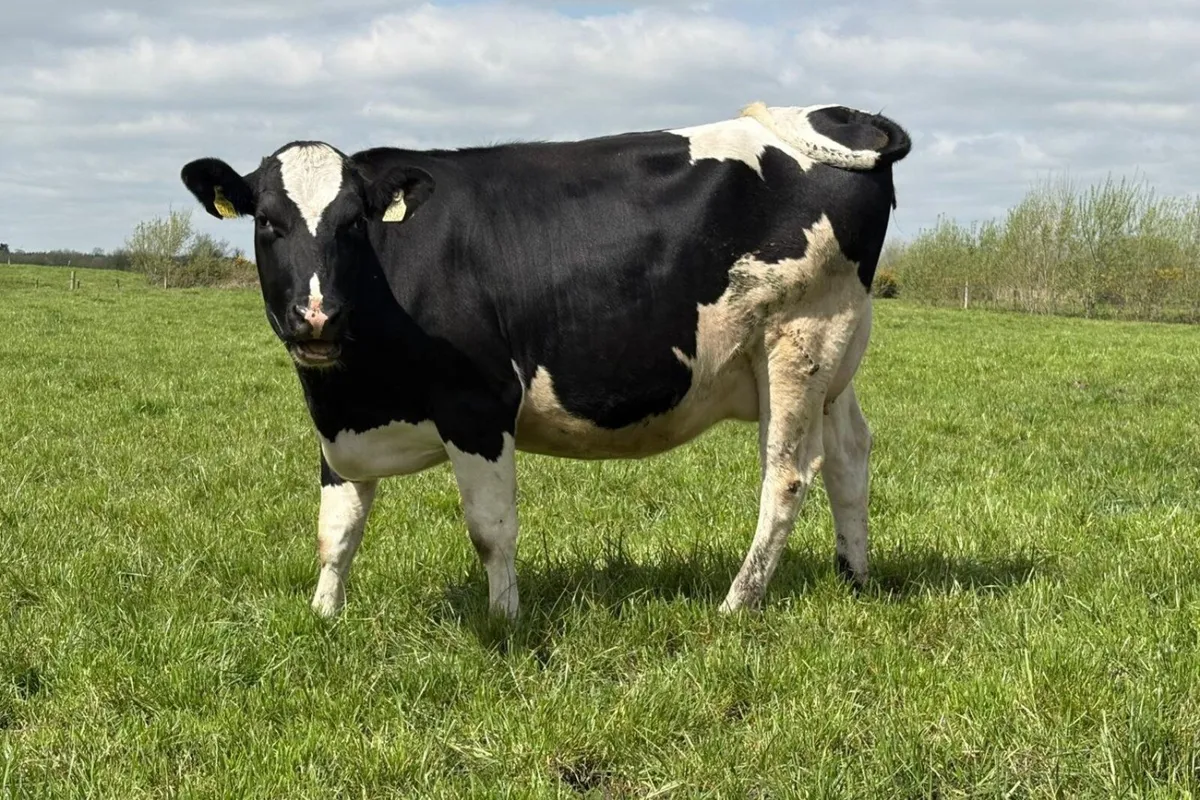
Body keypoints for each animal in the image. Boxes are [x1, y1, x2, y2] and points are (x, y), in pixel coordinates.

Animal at [179, 101, 911, 620]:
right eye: (267, 223)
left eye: (354, 221)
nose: (317, 316)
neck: (357, 390)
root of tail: (840, 113)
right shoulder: (340, 425)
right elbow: (336, 531)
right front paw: (325, 617)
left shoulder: (478, 408)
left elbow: (490, 530)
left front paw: (506, 622)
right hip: (833, 355)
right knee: (850, 454)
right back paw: (855, 578)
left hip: (797, 337)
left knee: (787, 475)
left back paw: (738, 602)